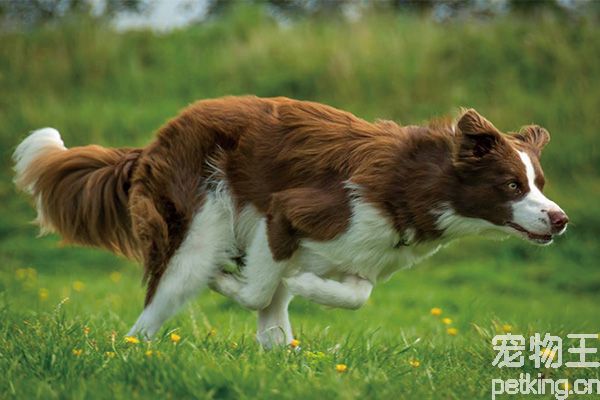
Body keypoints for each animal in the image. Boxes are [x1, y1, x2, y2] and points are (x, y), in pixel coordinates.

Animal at [12, 96, 568, 346]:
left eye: (539, 181)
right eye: (512, 186)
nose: (560, 219)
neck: (415, 184)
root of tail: (150, 145)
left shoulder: (360, 253)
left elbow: (355, 293)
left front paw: (309, 288)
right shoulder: (284, 212)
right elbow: (258, 289)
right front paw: (228, 282)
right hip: (199, 223)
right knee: (157, 307)